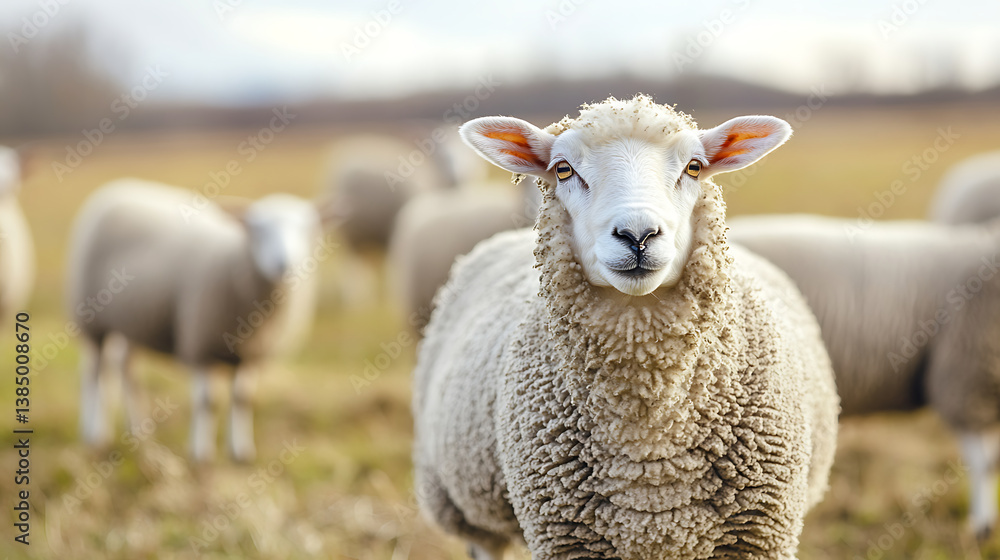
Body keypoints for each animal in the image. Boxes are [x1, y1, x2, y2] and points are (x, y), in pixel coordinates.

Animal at [68, 179, 326, 462]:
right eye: (257, 229)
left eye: (306, 229)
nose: (284, 264)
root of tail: (116, 187)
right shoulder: (200, 345)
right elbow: (207, 402)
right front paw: (201, 454)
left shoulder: (249, 354)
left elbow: (242, 401)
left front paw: (240, 452)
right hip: (93, 319)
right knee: (94, 374)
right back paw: (94, 434)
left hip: (132, 320)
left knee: (124, 370)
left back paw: (138, 432)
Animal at [412, 95, 839, 559]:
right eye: (563, 169)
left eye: (694, 167)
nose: (638, 235)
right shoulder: (566, 538)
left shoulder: (758, 535)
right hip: (467, 507)